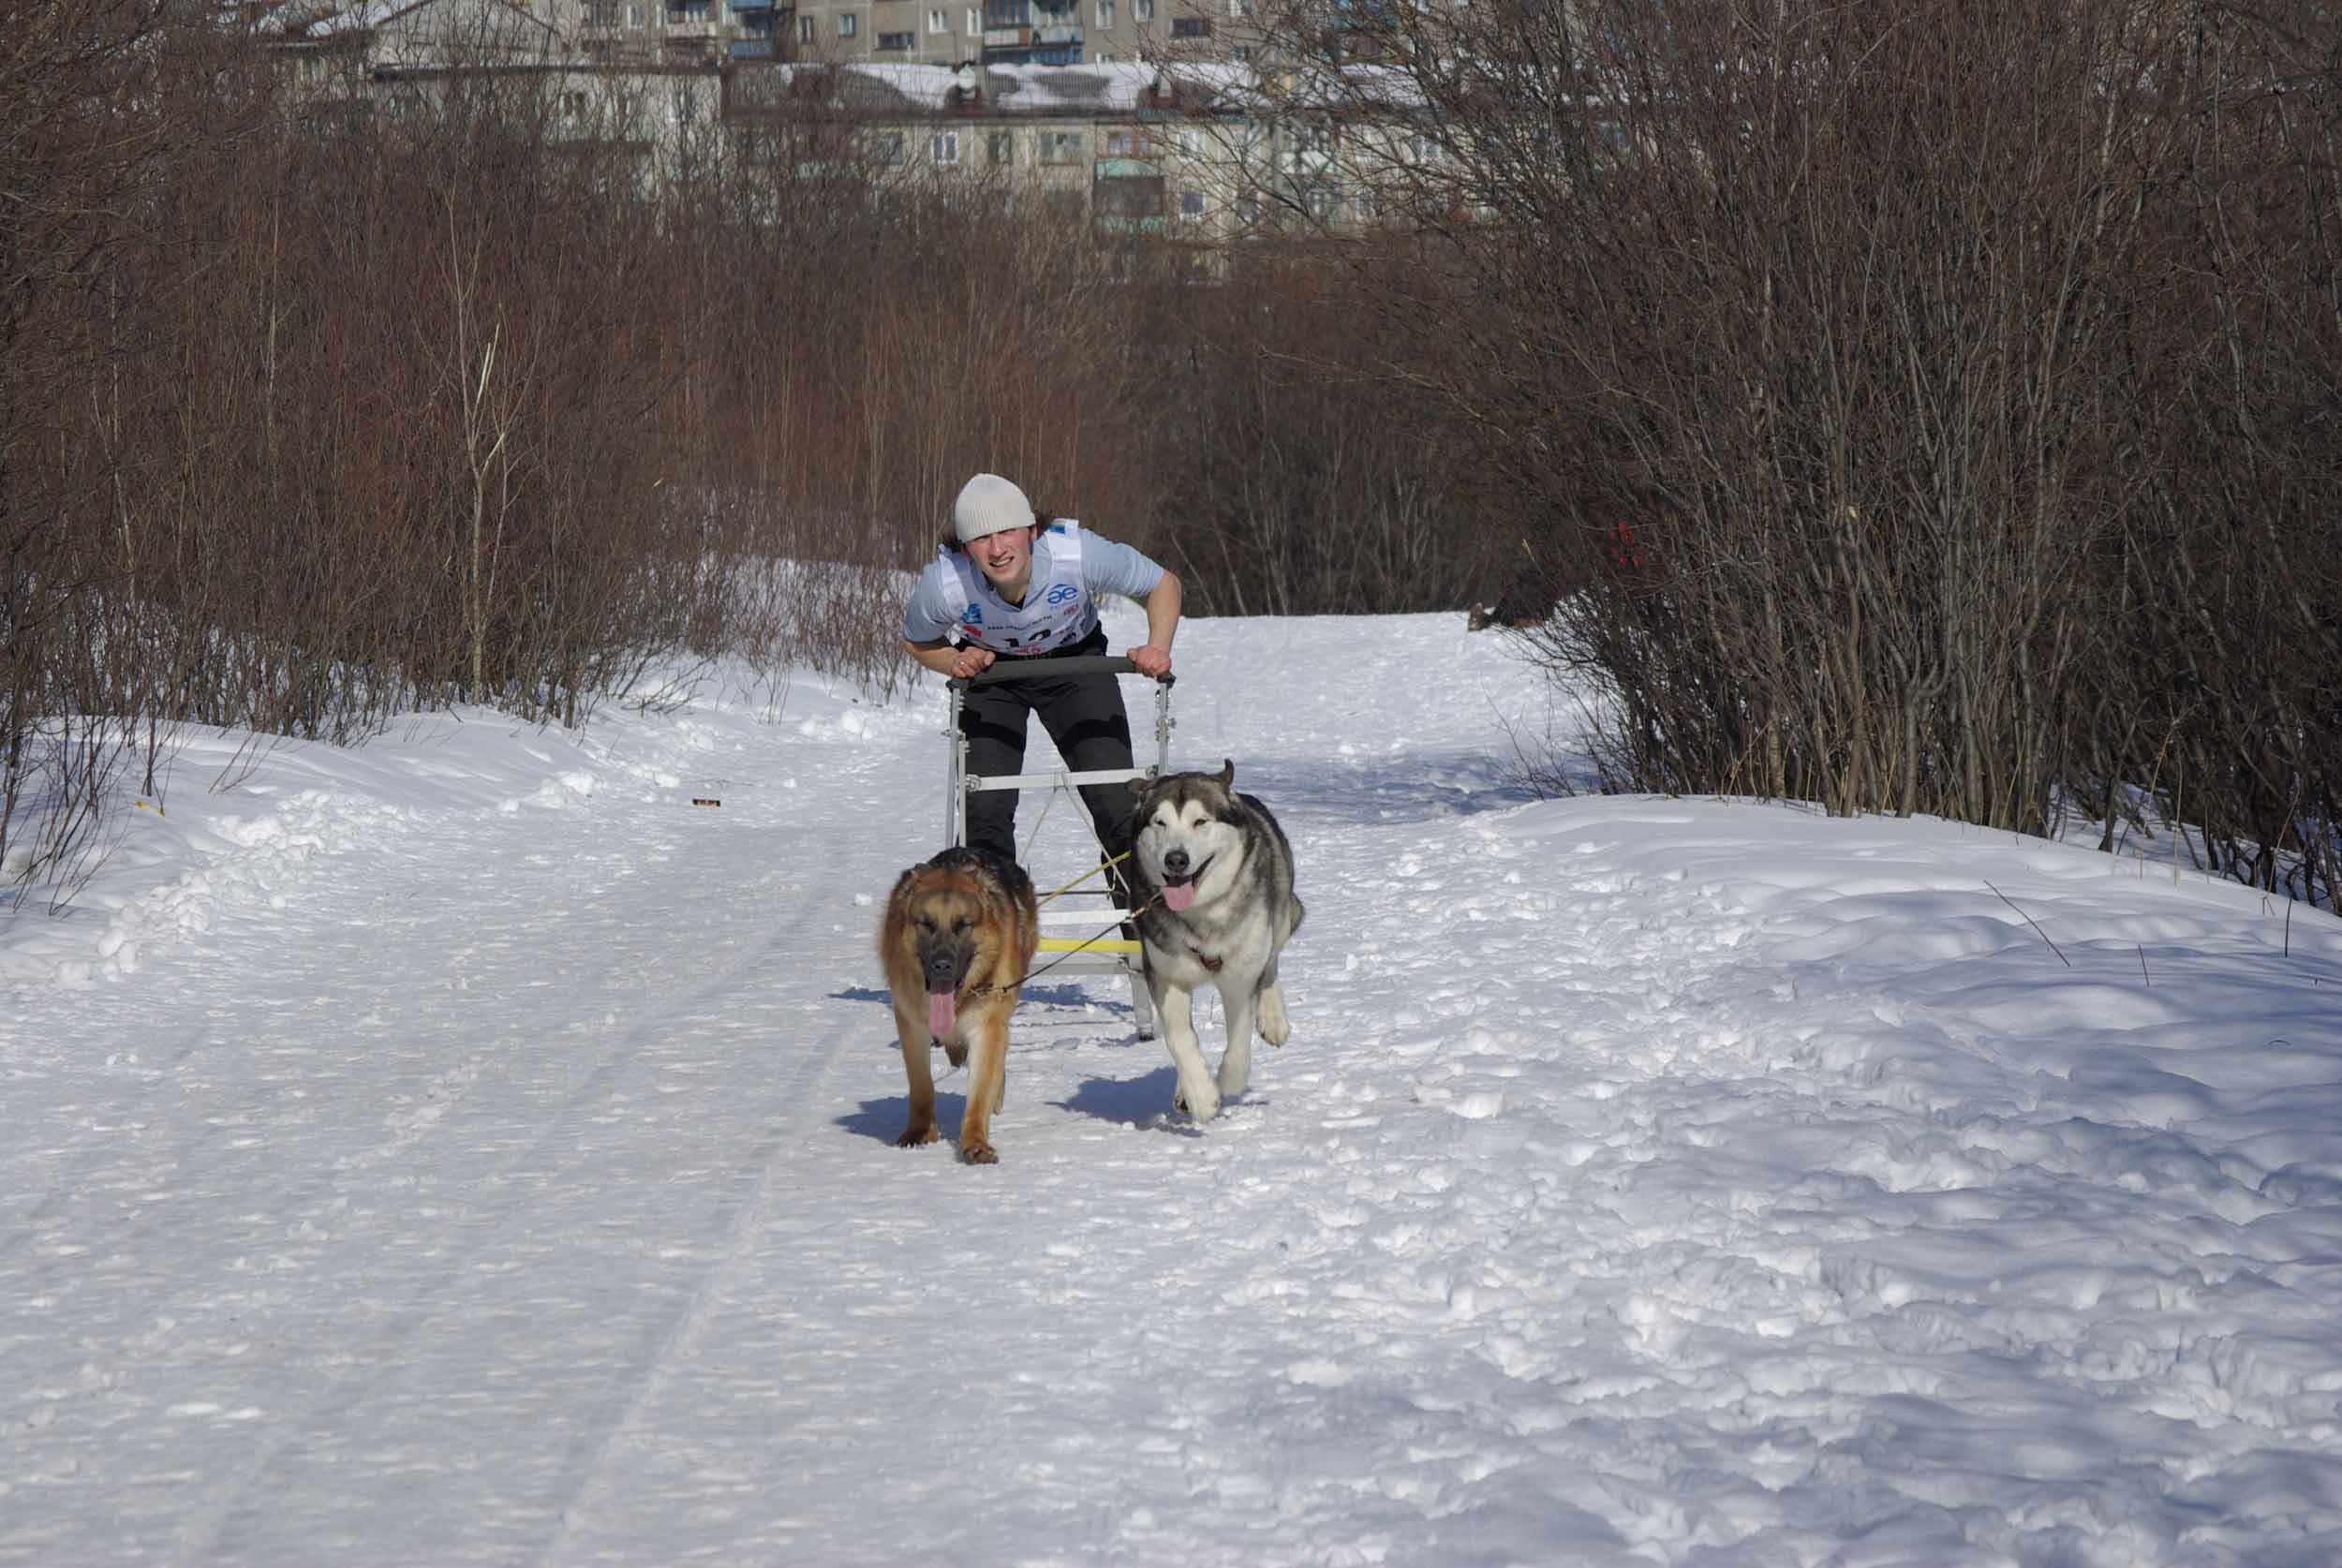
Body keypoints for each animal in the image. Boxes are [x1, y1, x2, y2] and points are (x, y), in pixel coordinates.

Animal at [881, 847, 1040, 1165]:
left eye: (963, 924)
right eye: (926, 923)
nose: (942, 965)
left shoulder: (987, 1026)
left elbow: (979, 1094)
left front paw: (975, 1142)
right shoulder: (911, 1025)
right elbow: (921, 1085)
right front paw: (920, 1132)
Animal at [1129, 758, 1312, 1118]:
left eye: (1200, 821)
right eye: (1160, 822)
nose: (1176, 859)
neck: (1200, 915)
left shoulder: (1240, 977)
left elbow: (1239, 1043)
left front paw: (1226, 1082)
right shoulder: (1165, 973)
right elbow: (1180, 1037)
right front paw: (1200, 1093)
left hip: (1282, 911)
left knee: (1271, 963)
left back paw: (1273, 1018)